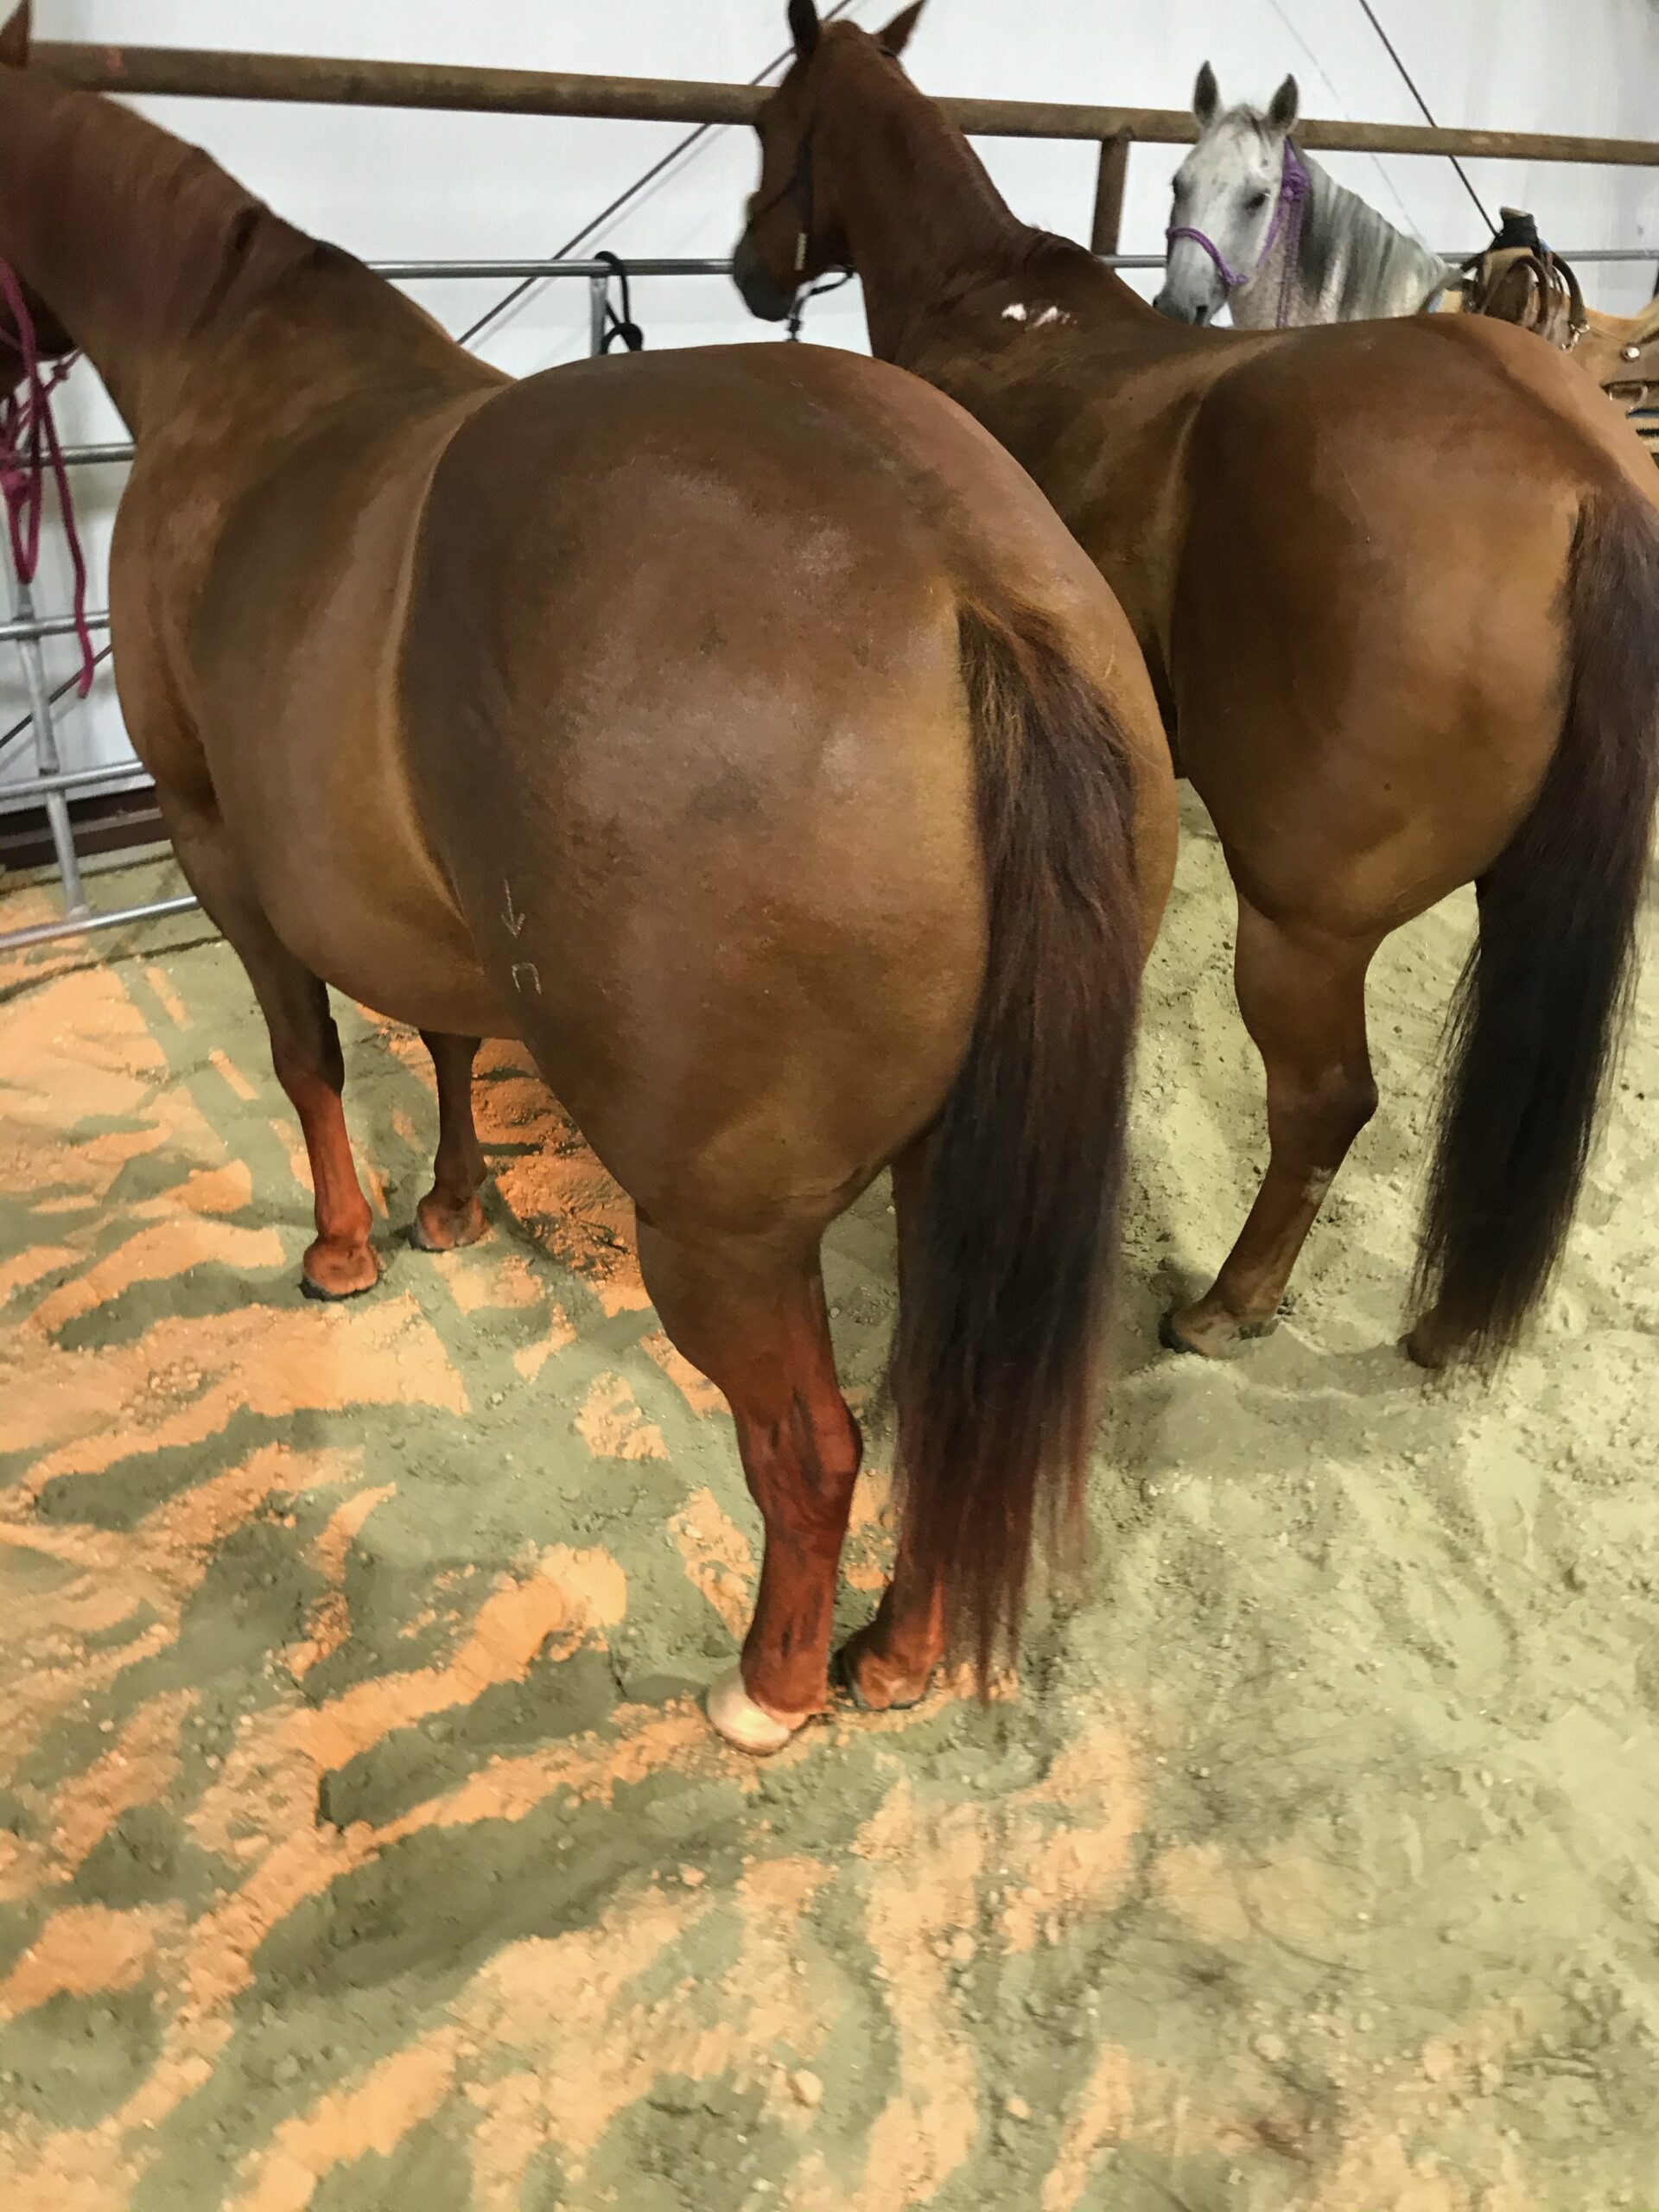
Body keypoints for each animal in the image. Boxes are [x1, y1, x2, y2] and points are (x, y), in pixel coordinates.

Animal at [0, 1, 1179, 1750]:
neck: (241, 367)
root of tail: (969, 590)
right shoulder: (430, 916)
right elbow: (442, 1034)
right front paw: (451, 1208)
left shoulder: (218, 845)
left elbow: (306, 1051)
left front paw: (345, 1250)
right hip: (944, 1174)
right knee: (946, 1403)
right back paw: (895, 1655)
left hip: (720, 1237)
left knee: (811, 1449)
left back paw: (770, 1691)